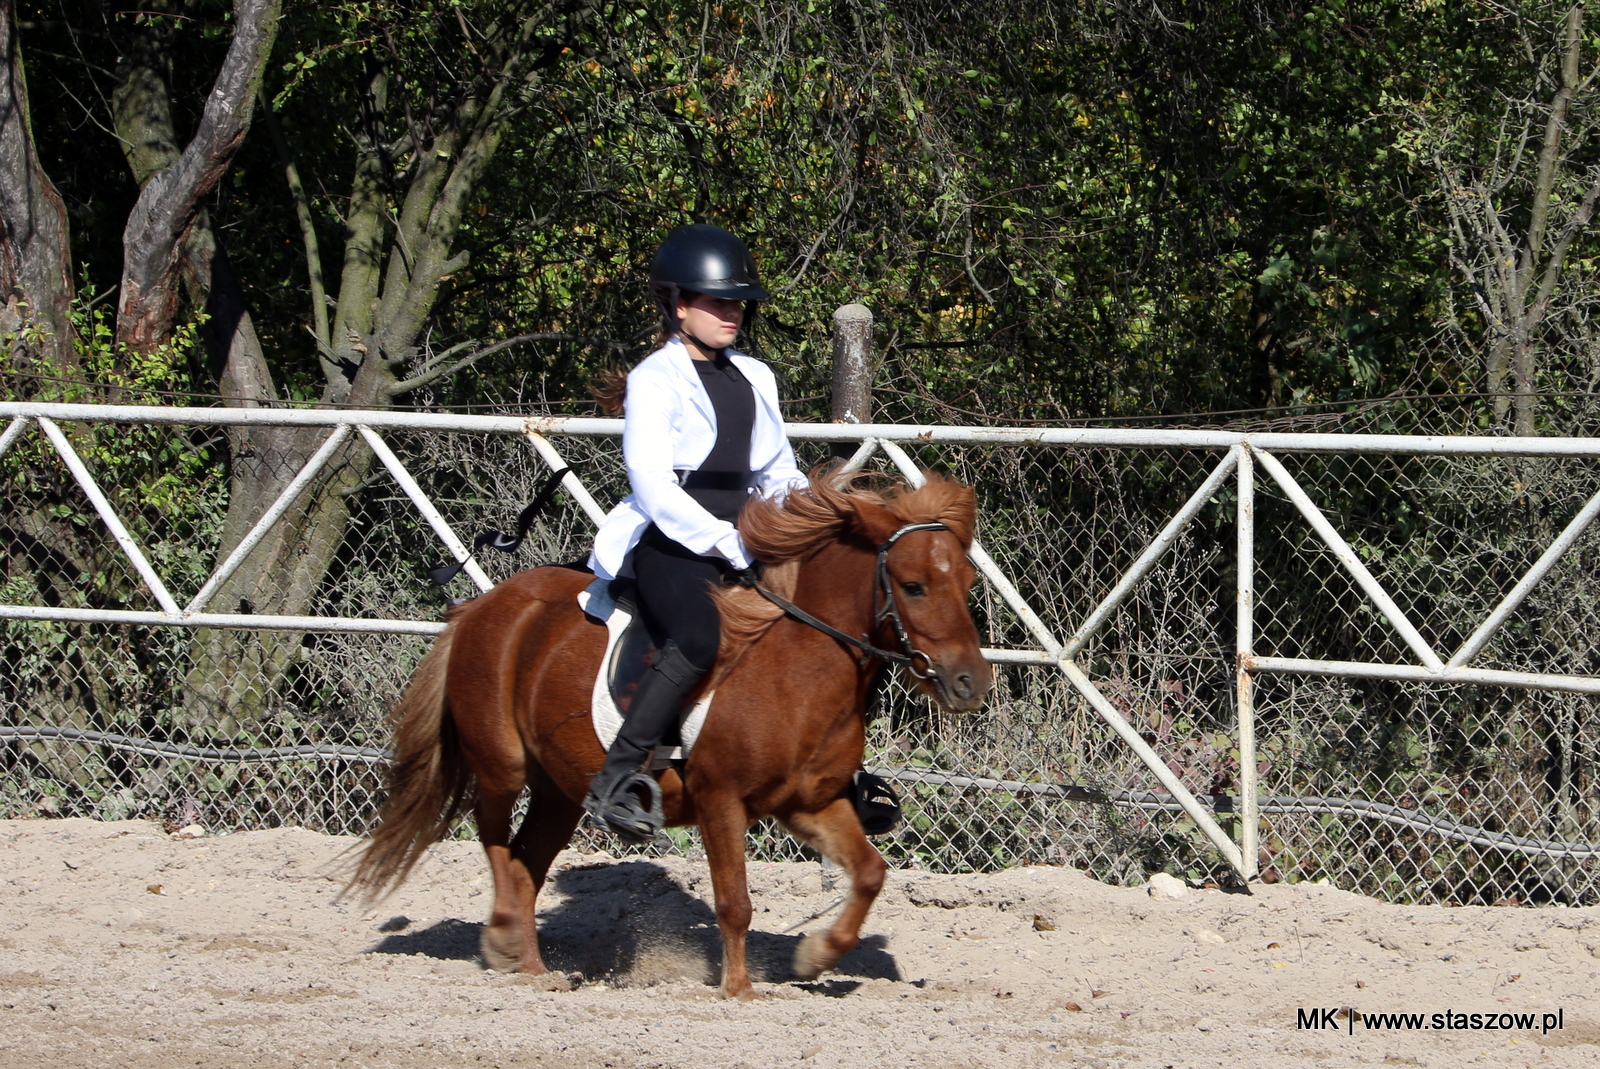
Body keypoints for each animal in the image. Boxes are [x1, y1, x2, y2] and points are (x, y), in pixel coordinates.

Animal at [348, 470, 992, 998]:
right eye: (913, 585)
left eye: (964, 581)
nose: (971, 683)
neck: (797, 665)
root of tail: (482, 607)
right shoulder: (719, 799)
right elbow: (734, 902)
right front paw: (739, 990)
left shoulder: (810, 802)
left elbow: (870, 873)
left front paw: (814, 957)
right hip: (502, 765)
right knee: (496, 843)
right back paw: (503, 937)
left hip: (558, 790)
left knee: (528, 862)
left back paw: (532, 968)